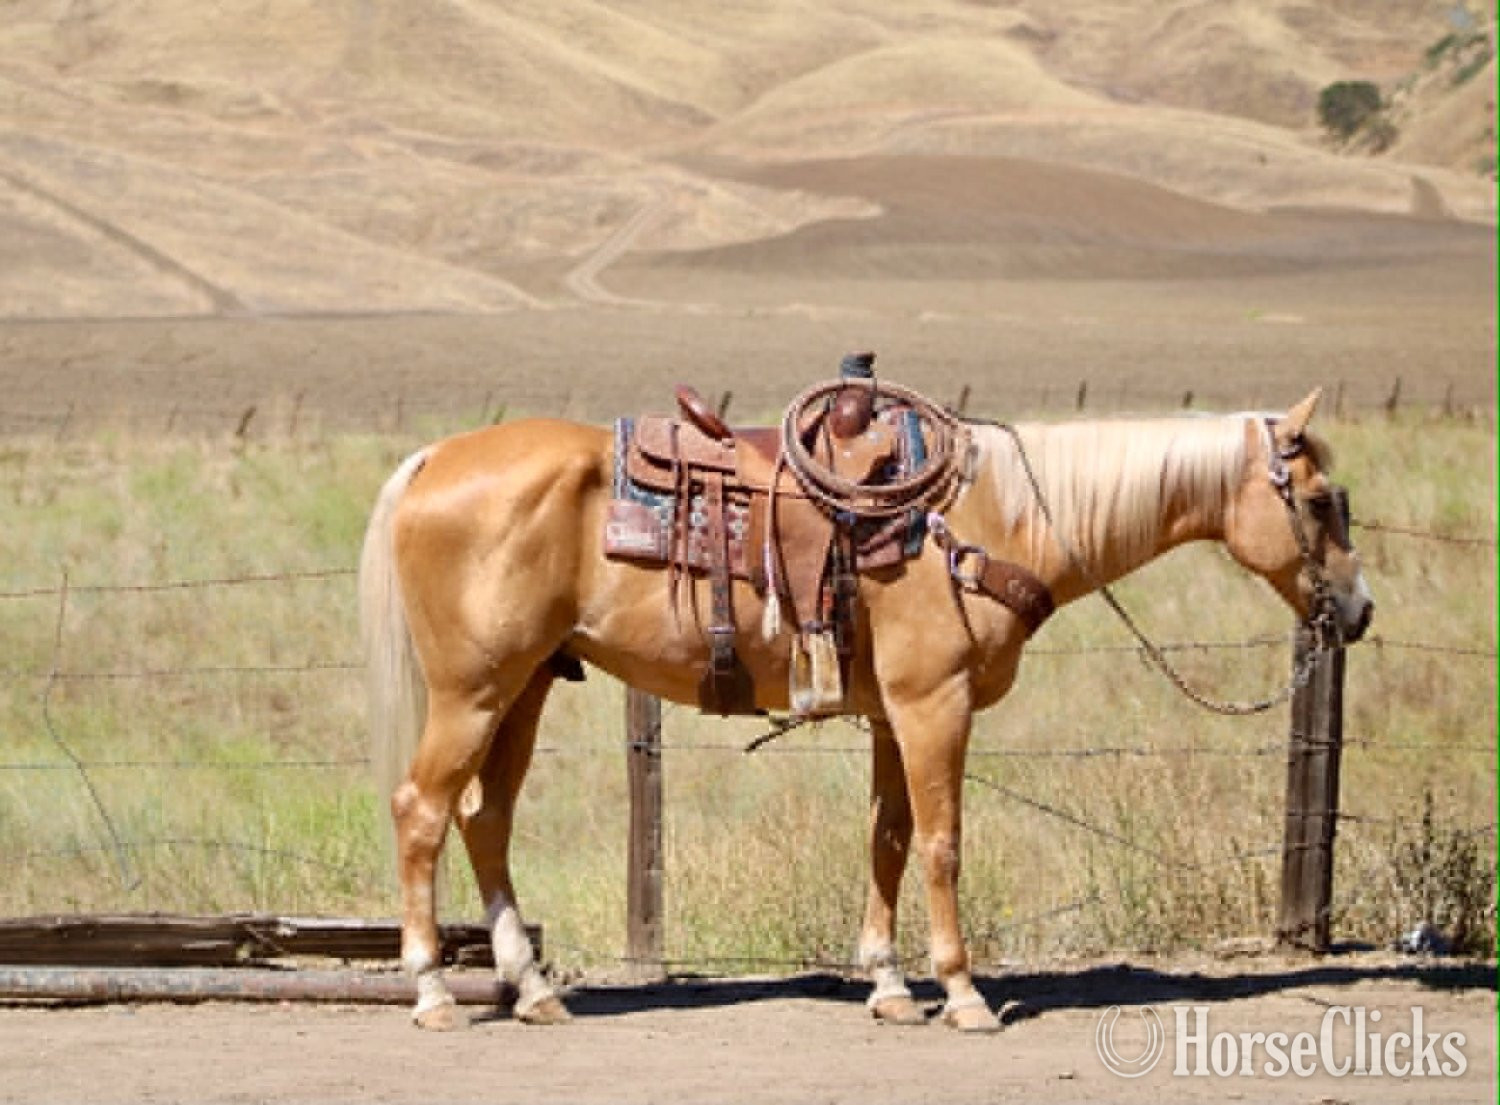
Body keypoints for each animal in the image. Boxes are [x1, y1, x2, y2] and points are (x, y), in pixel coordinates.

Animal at [358, 386, 1373, 1032]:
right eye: (1323, 499)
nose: (1359, 611)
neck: (992, 518)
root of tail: (432, 459)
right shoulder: (936, 705)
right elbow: (942, 842)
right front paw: (961, 995)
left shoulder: (894, 714)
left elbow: (887, 838)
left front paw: (888, 984)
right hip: (473, 690)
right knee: (421, 811)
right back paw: (434, 993)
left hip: (523, 687)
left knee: (485, 820)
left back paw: (533, 990)